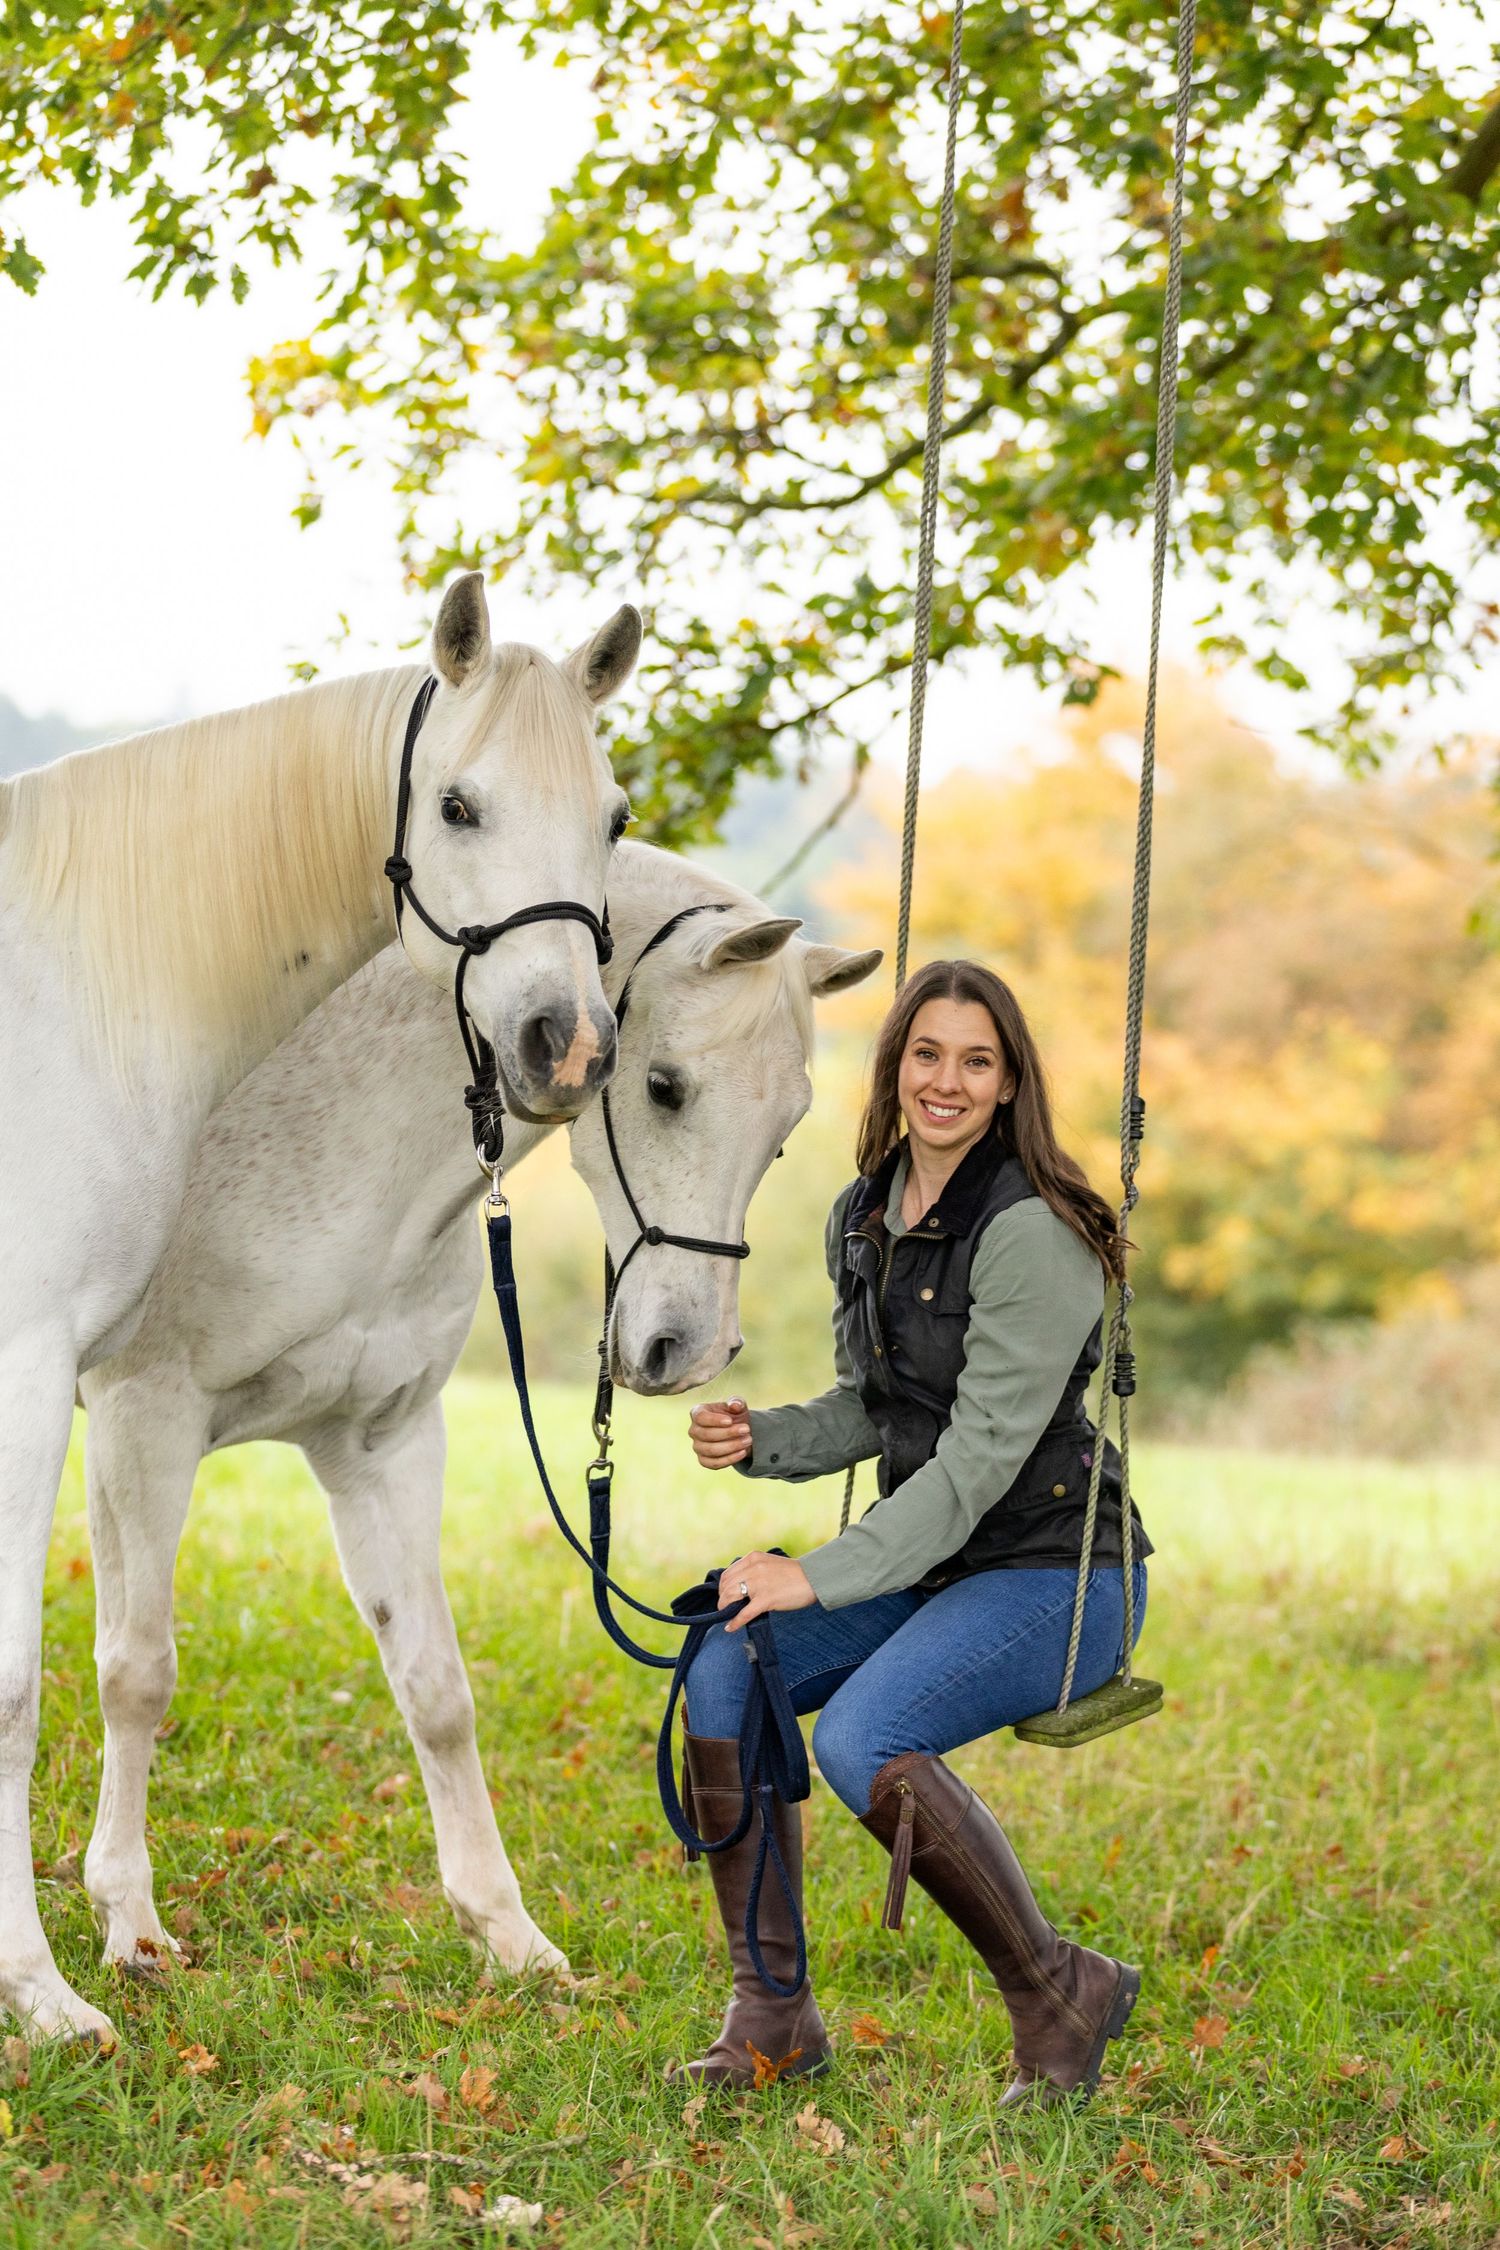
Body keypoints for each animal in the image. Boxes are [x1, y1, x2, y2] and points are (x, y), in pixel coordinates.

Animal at [0, 576, 635, 2040]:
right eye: (457, 804)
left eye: (616, 816)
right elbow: (17, 1690)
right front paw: (43, 1996)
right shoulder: (40, 1379)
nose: (567, 1048)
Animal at [67, 842, 879, 2019]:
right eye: (666, 1087)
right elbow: (137, 1675)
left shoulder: (383, 1446)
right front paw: (130, 1925)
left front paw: (509, 1935)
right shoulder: (144, 1423)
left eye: (786, 1130)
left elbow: (437, 1693)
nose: (689, 1350)